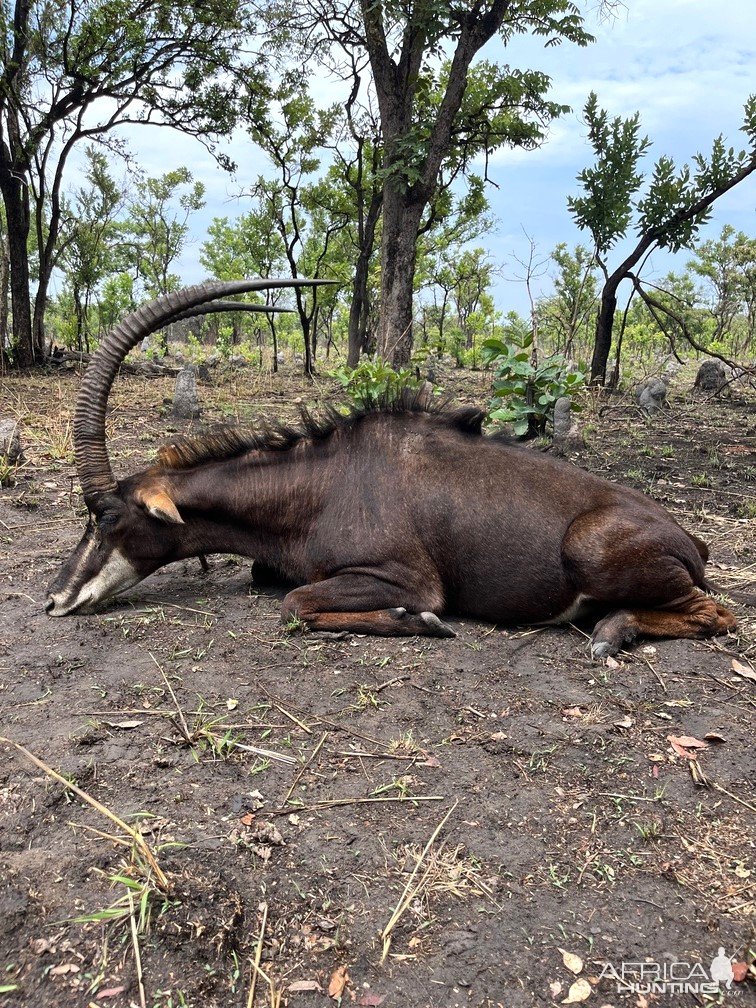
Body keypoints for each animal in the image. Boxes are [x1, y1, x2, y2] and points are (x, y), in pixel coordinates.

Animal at [47, 276, 741, 657]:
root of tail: (693, 539)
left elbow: (296, 603)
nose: (55, 599)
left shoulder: (402, 576)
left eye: (105, 516)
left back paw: (612, 631)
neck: (314, 488)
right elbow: (273, 583)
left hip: (593, 552)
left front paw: (420, 622)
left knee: (719, 615)